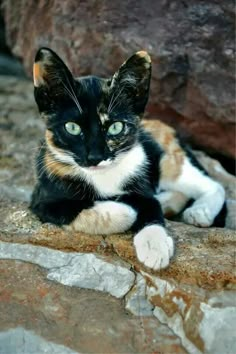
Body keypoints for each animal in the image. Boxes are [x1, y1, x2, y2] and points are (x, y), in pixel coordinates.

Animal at [30, 47, 226, 272]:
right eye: (72, 127)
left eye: (116, 127)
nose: (95, 157)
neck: (103, 177)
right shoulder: (42, 200)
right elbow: (75, 210)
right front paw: (127, 212)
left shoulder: (142, 182)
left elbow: (150, 206)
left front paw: (154, 246)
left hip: (167, 160)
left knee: (212, 184)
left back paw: (199, 211)